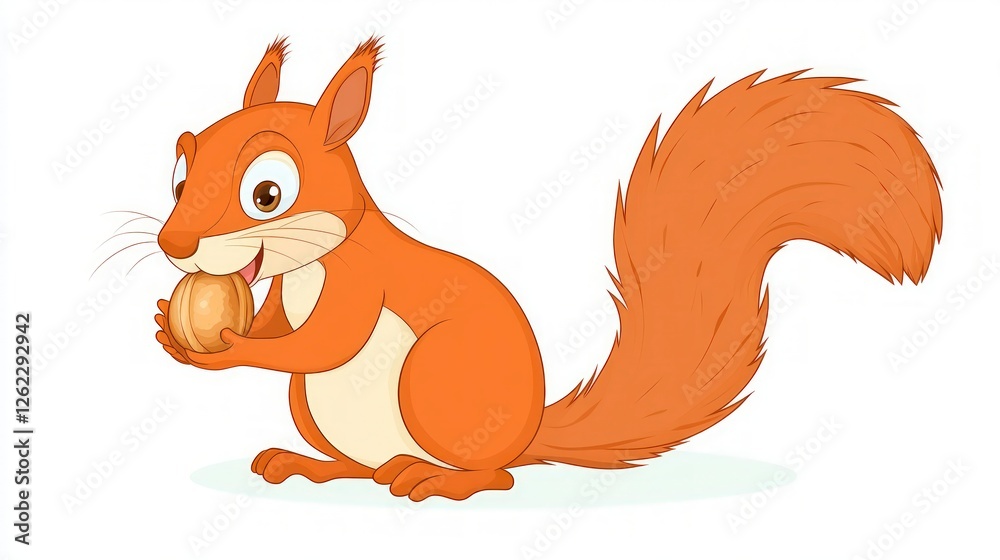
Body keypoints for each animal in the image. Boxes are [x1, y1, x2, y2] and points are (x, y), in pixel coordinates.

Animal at [153, 36, 943, 501]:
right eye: (179, 174)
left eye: (267, 193)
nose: (173, 244)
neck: (312, 261)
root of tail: (530, 431)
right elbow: (286, 329)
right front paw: (177, 328)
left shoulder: (361, 284)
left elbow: (321, 342)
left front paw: (225, 348)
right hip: (314, 409)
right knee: (363, 463)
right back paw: (320, 466)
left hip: (435, 386)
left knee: (495, 475)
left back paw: (433, 479)